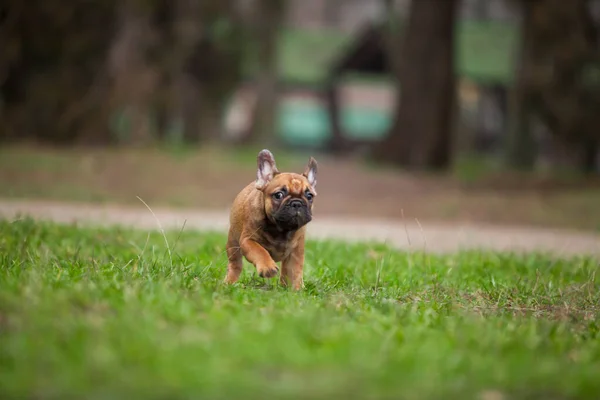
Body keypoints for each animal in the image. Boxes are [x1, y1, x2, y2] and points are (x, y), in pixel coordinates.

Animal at [224, 148, 316, 290]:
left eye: (309, 196)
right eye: (278, 195)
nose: (297, 203)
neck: (280, 229)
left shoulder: (296, 252)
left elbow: (294, 272)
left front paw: (296, 290)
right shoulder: (247, 240)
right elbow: (259, 251)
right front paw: (267, 267)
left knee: (285, 273)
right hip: (233, 243)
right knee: (235, 264)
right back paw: (229, 282)